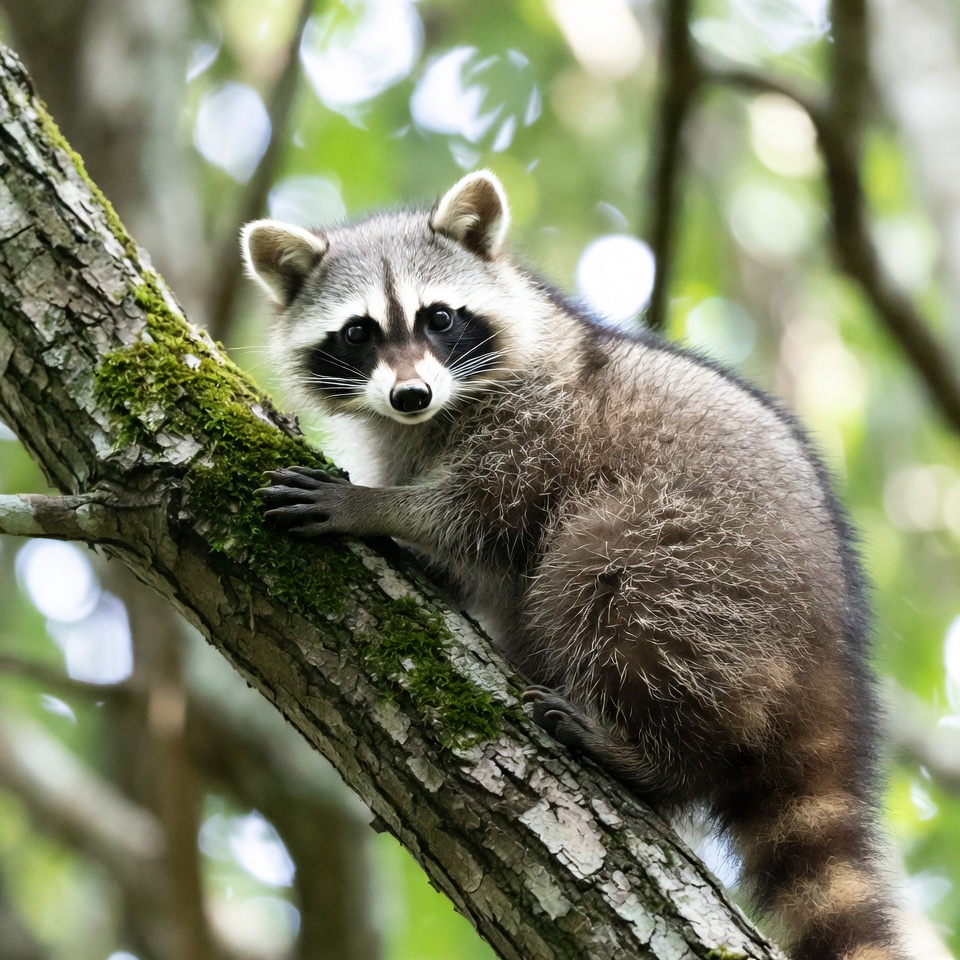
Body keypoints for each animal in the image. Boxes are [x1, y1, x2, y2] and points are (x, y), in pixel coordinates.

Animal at [242, 171, 905, 960]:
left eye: (439, 318)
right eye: (357, 332)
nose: (411, 394)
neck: (437, 413)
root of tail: (829, 658)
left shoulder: (541, 422)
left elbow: (485, 514)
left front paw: (377, 509)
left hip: (706, 571)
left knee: (599, 576)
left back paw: (652, 757)